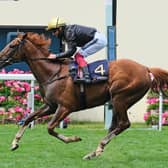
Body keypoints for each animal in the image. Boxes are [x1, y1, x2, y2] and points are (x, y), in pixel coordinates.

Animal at [0, 32, 168, 159]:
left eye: (12, 45)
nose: (0, 58)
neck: (53, 73)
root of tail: (146, 69)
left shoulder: (65, 107)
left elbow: (50, 128)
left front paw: (74, 139)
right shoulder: (50, 106)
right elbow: (29, 118)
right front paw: (14, 143)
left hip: (121, 98)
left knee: (123, 124)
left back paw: (98, 148)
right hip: (118, 101)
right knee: (115, 126)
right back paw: (94, 152)